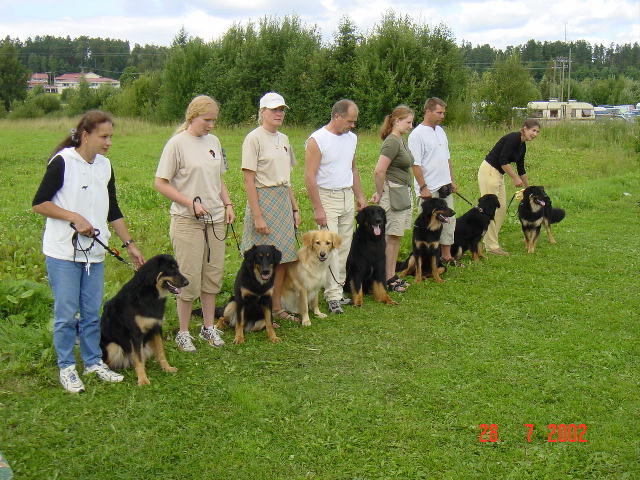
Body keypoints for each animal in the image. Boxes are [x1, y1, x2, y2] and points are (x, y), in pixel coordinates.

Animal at [100, 255, 188, 386]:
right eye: (171, 269)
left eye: (177, 268)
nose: (187, 282)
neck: (150, 294)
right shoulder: (136, 334)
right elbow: (139, 359)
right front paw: (142, 379)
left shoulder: (156, 328)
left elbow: (161, 352)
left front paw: (167, 368)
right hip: (113, 347)